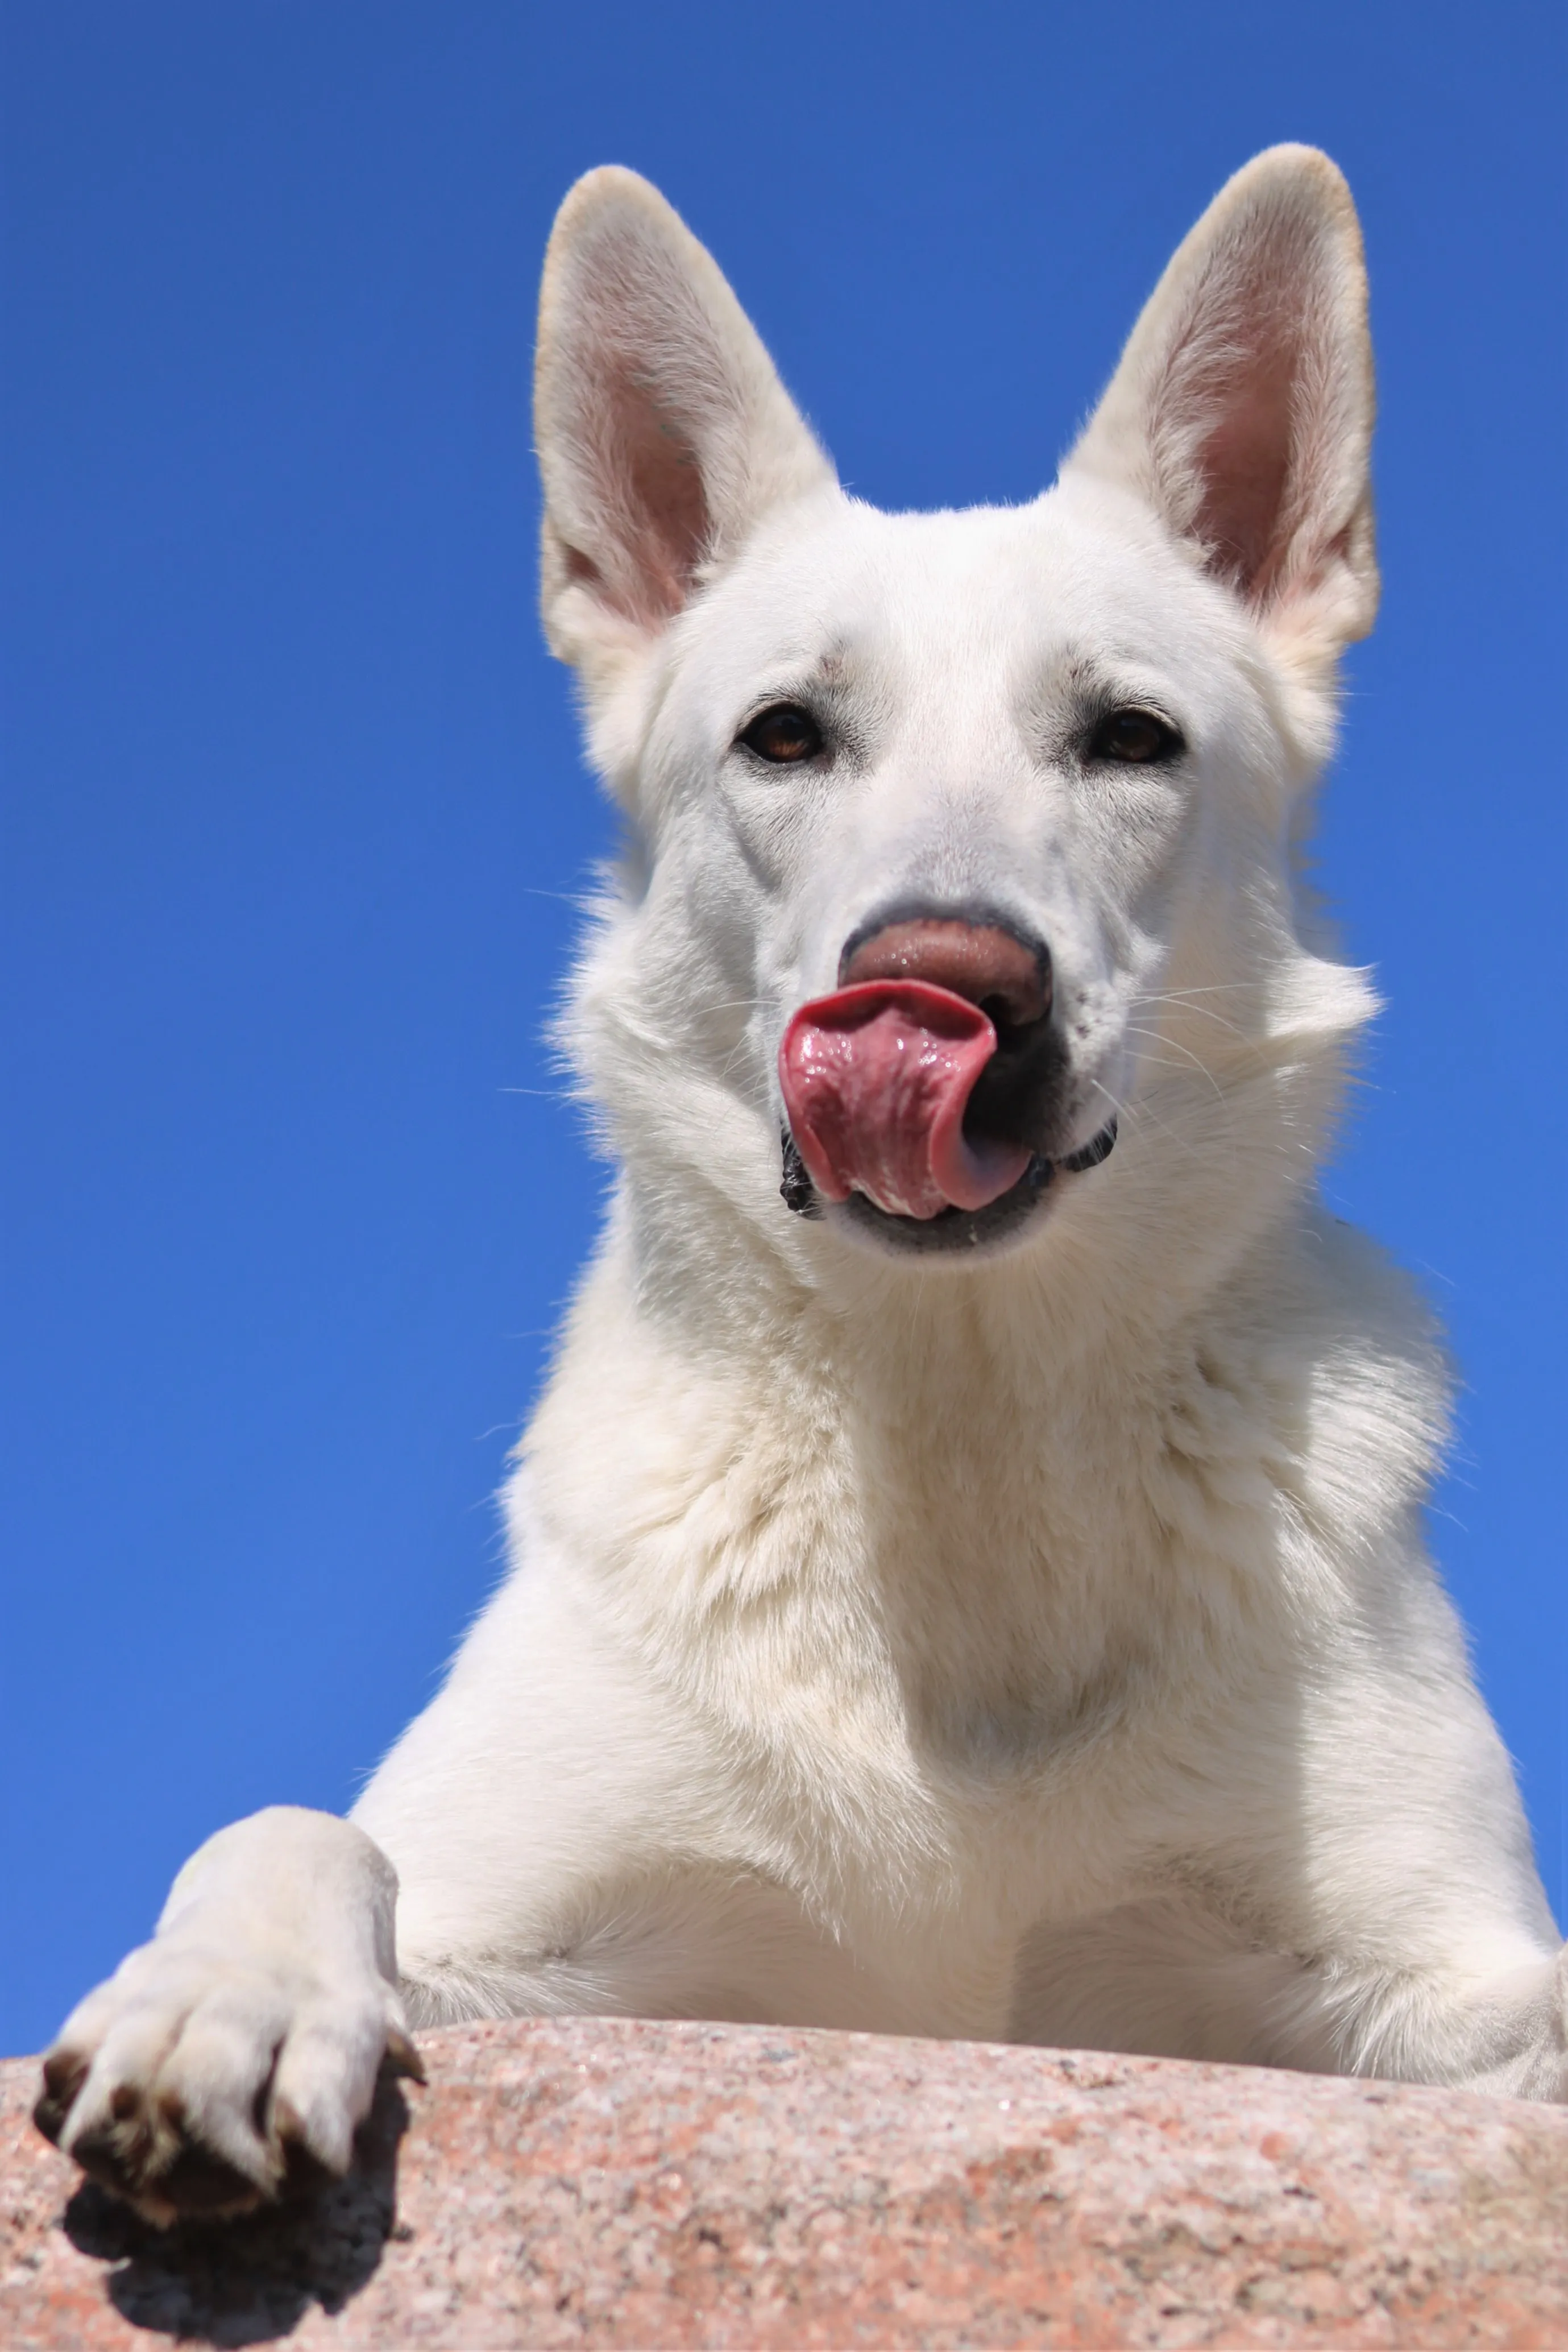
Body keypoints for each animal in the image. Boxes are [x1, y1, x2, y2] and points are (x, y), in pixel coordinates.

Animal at [36, 151, 1568, 2220]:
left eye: (1129, 737)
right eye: (784, 735)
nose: (950, 983)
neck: (959, 1435)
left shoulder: (1430, 1979)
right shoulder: (535, 1924)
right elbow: (303, 1823)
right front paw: (225, 1992)